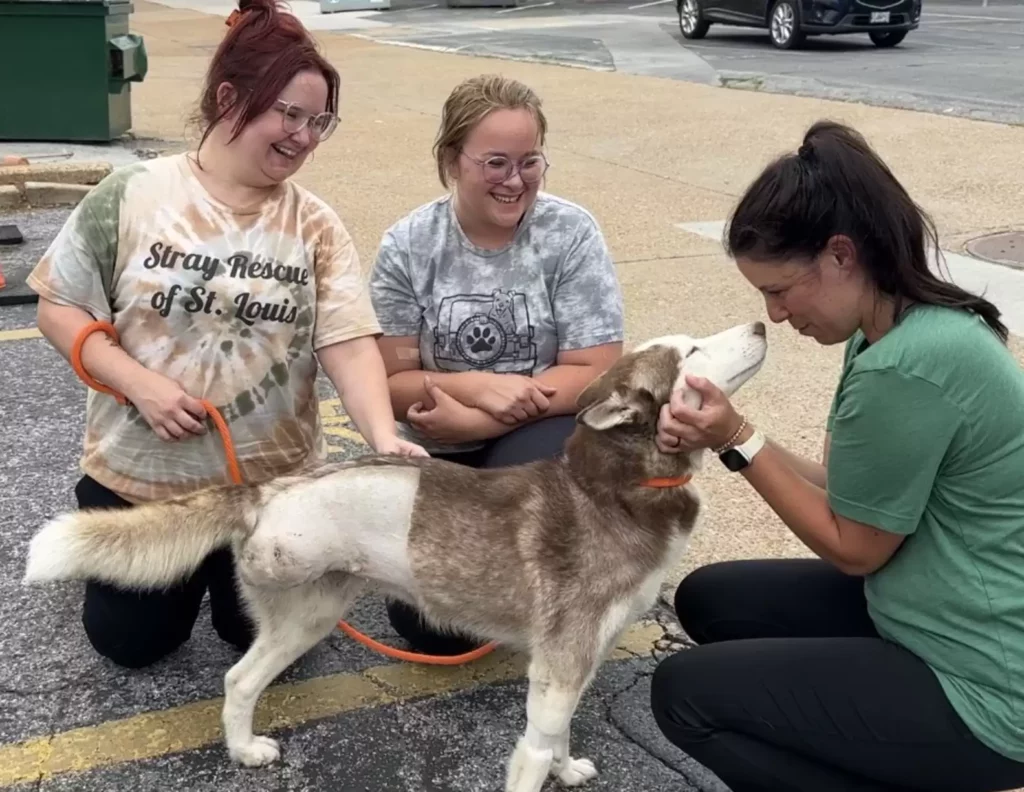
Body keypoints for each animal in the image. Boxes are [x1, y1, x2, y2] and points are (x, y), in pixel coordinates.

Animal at [22, 321, 770, 790]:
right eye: (694, 348)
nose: (763, 324)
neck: (613, 488)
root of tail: (267, 489)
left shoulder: (571, 662)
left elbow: (556, 739)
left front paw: (566, 769)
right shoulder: (561, 664)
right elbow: (534, 750)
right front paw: (547, 772)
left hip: (307, 615)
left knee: (238, 680)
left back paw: (242, 750)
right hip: (306, 615)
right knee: (239, 680)